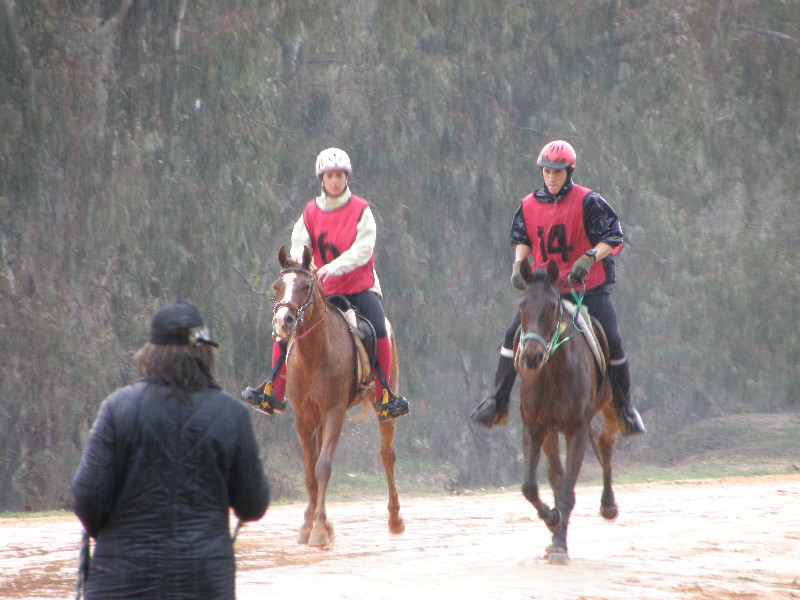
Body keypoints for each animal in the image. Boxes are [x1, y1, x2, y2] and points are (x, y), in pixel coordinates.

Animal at [272, 245, 406, 548]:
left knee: (387, 455)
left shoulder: (335, 413)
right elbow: (310, 471)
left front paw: (320, 530)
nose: (283, 322)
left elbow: (323, 467)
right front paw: (309, 524)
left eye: (306, 286)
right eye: (277, 286)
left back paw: (395, 519)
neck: (314, 355)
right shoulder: (304, 417)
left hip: (383, 403)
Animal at [516, 260, 620, 564]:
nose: (531, 357)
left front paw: (560, 546)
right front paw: (552, 520)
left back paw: (608, 504)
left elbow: (567, 492)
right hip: (551, 430)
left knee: (605, 442)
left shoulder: (576, 428)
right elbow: (531, 486)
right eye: (522, 306)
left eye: (552, 307)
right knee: (556, 473)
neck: (552, 372)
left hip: (609, 405)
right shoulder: (533, 426)